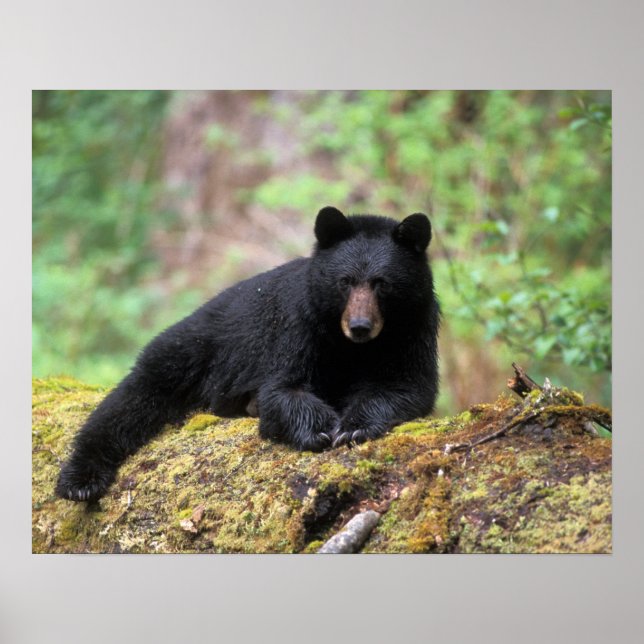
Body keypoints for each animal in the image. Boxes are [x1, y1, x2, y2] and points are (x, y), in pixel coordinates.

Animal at [56, 206, 440, 502]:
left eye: (382, 283)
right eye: (345, 281)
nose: (360, 326)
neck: (353, 348)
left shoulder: (415, 328)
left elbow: (407, 385)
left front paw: (354, 427)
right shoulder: (299, 325)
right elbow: (283, 387)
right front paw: (319, 429)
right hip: (190, 350)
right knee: (129, 401)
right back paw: (79, 481)